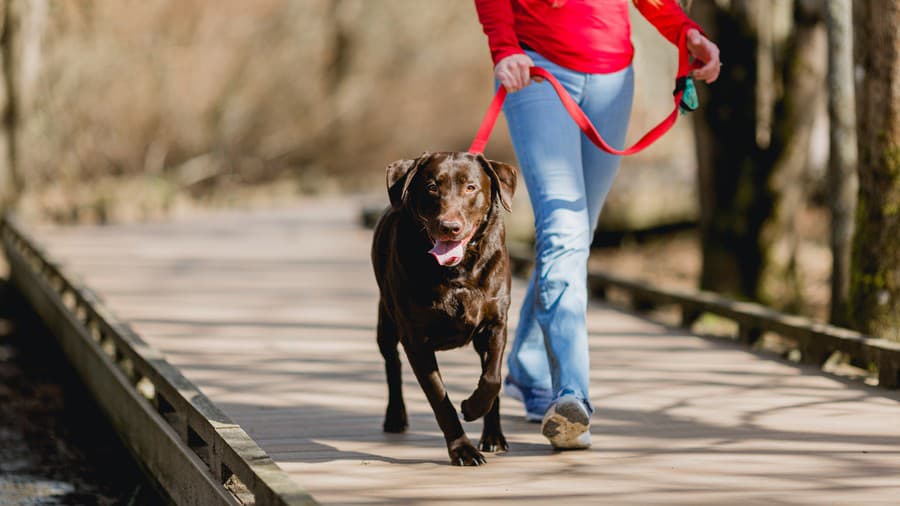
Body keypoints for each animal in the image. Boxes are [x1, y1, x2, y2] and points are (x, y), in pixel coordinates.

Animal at [370, 151, 516, 466]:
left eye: (471, 187)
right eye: (431, 187)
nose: (450, 227)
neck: (458, 272)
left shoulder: (496, 323)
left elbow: (493, 378)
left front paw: (473, 407)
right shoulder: (416, 341)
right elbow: (439, 398)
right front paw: (462, 449)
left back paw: (494, 436)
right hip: (386, 320)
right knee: (392, 363)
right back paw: (395, 416)